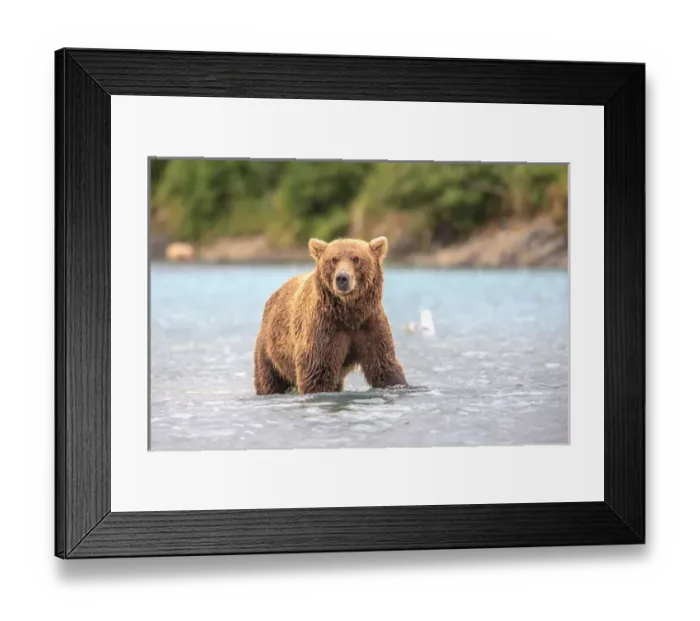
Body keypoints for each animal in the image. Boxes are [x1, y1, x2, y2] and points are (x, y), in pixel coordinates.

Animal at [254, 236, 408, 395]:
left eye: (356, 259)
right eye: (334, 259)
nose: (342, 278)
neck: (349, 314)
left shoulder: (369, 324)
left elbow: (383, 365)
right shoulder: (324, 328)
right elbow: (317, 372)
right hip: (269, 349)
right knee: (268, 379)